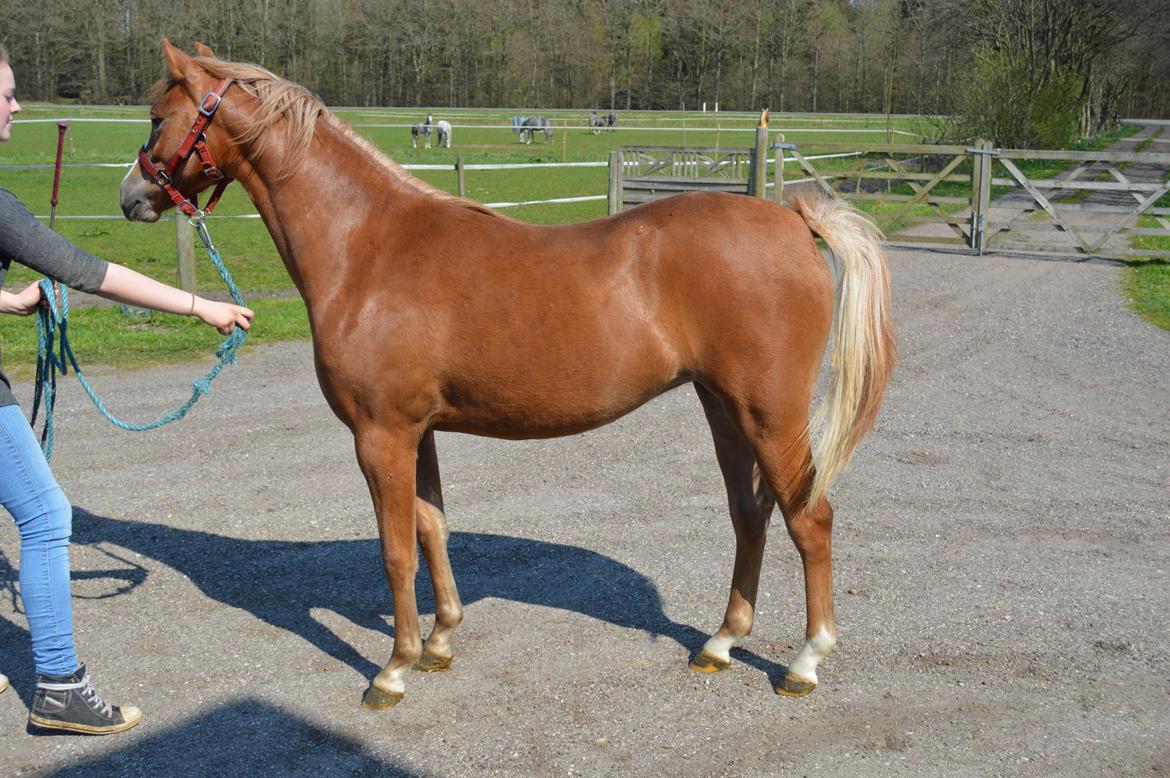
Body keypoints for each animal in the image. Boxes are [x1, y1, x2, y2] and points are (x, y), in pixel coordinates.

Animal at [121, 41, 896, 712]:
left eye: (159, 117)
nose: (131, 196)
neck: (367, 246)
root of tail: (793, 221)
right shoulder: (418, 432)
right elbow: (432, 528)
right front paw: (439, 642)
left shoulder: (380, 435)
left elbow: (396, 552)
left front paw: (393, 670)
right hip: (723, 407)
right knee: (750, 514)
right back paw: (722, 642)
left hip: (770, 412)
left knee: (809, 518)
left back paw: (804, 661)